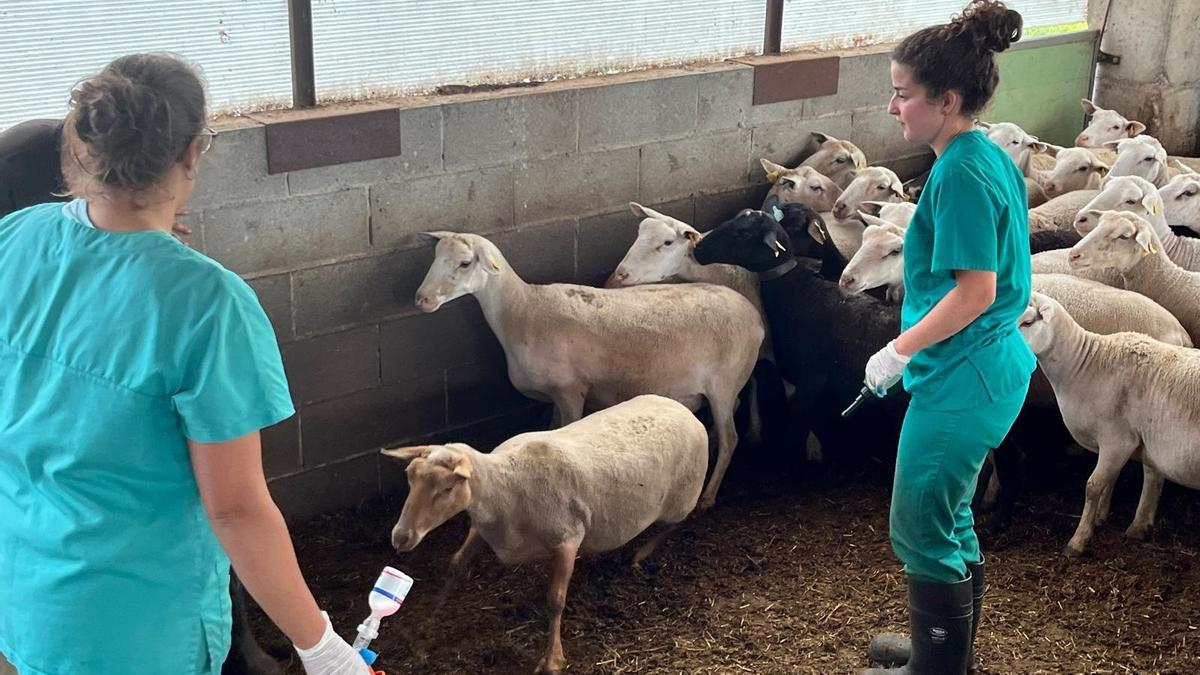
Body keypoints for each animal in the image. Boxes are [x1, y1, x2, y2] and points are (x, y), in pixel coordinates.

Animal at [379, 393, 705, 672]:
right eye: (409, 477)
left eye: (448, 488)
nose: (400, 537)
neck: (503, 488)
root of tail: (682, 409)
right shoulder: (482, 529)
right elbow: (455, 566)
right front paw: (425, 633)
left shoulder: (567, 538)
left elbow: (555, 600)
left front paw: (552, 659)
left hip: (683, 498)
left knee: (680, 521)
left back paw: (642, 553)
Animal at [417, 229, 763, 504]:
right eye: (435, 257)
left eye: (465, 263)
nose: (422, 299)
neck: (523, 311)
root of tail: (754, 316)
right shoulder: (555, 396)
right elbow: (550, 427)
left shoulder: (571, 391)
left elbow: (564, 431)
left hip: (723, 383)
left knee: (732, 437)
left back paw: (708, 495)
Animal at [1017, 291, 1200, 554]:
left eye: (1028, 322)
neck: (1082, 365)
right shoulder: (1126, 442)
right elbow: (1112, 480)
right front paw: (1102, 517)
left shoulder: (1118, 440)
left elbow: (1093, 486)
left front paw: (1078, 540)